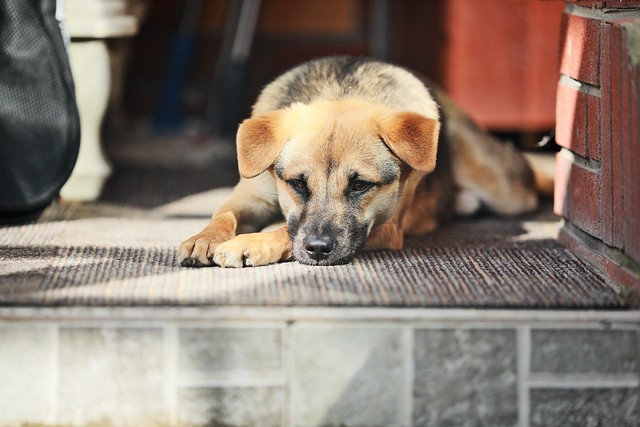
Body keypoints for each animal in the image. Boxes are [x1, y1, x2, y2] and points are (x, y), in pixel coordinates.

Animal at [179, 56, 544, 268]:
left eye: (360, 185)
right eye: (296, 183)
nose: (318, 249)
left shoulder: (386, 227)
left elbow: (283, 229)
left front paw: (252, 242)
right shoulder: (251, 195)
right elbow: (223, 214)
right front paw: (205, 237)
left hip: (505, 190)